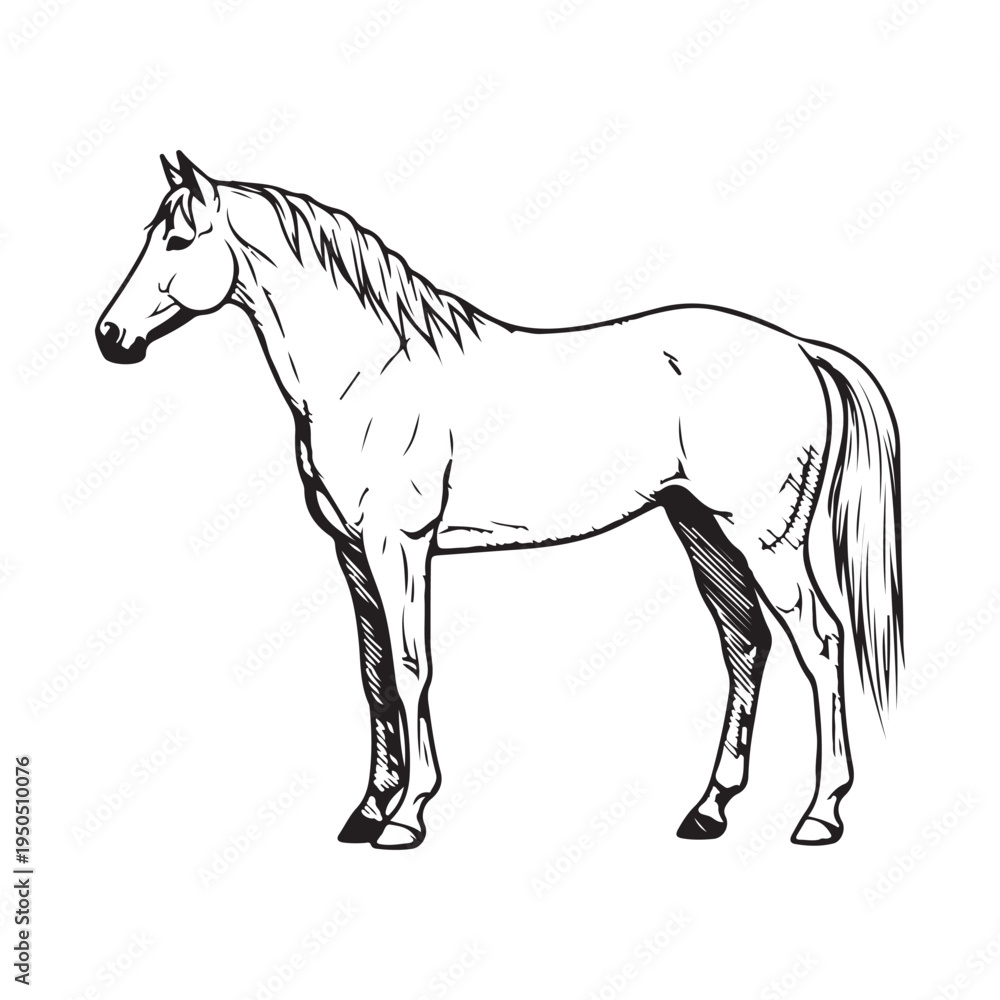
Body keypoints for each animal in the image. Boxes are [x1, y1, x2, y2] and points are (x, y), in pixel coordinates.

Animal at [96, 152, 902, 850]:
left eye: (178, 238)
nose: (110, 336)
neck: (370, 374)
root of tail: (800, 349)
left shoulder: (401, 546)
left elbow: (410, 665)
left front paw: (407, 815)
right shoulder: (353, 551)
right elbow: (373, 677)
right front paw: (368, 808)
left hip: (765, 538)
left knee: (820, 644)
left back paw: (820, 813)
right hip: (699, 526)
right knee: (745, 645)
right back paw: (709, 810)